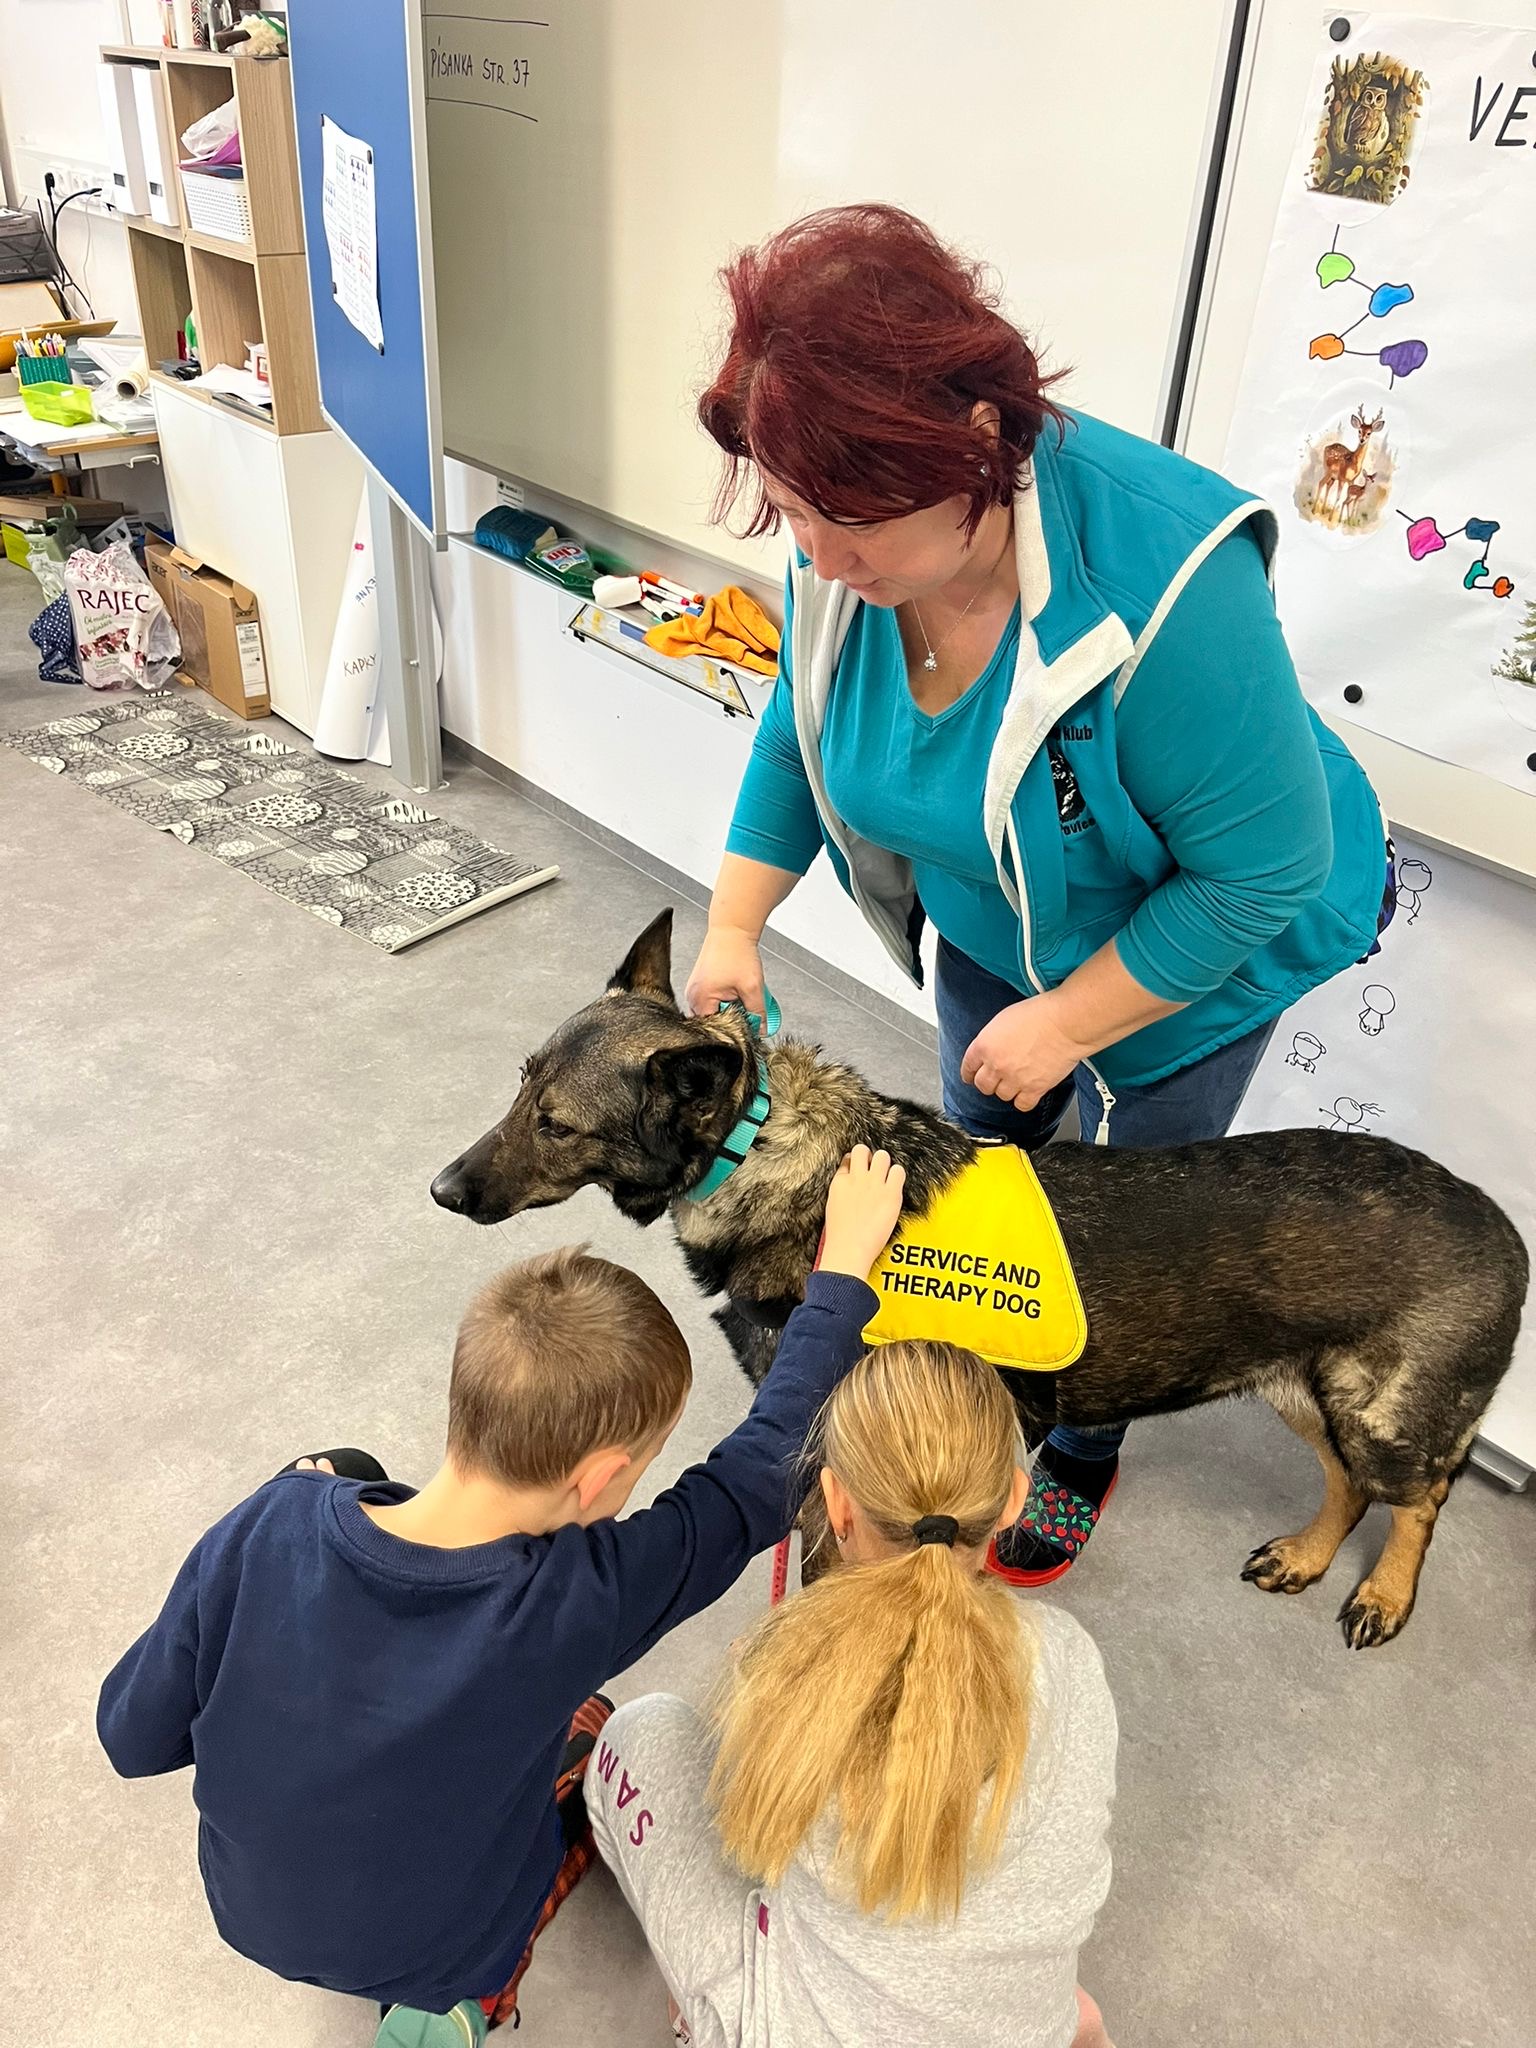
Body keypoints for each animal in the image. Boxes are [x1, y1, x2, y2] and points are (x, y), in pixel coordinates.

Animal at [432, 911, 1528, 1649]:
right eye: (521, 1085)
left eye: (556, 1124)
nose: (442, 1187)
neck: (761, 1146)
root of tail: (1506, 1226)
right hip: (1301, 1388)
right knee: (1349, 1481)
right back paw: (1307, 1553)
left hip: (1378, 1414)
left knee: (1419, 1495)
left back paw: (1383, 1593)